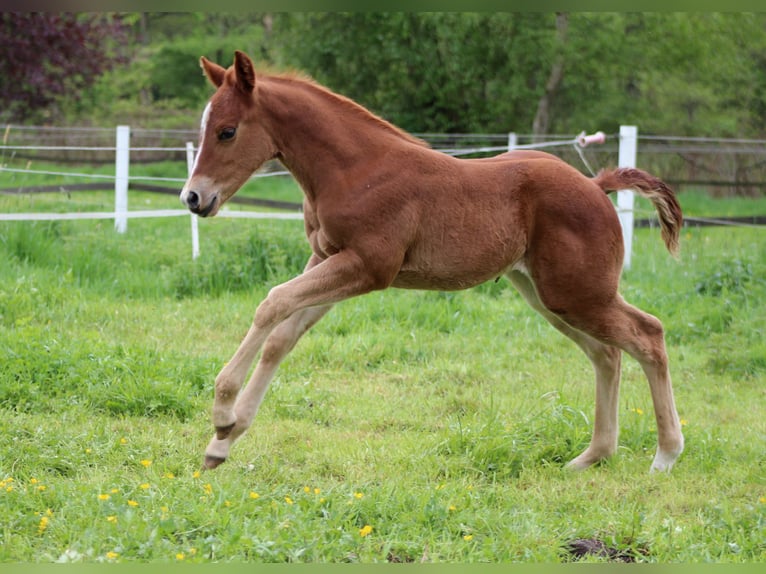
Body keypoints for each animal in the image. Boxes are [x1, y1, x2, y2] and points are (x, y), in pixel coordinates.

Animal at [180, 50, 685, 473]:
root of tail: (597, 186)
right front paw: (222, 442)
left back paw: (664, 455)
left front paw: (222, 412)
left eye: (227, 131)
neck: (355, 169)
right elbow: (281, 337)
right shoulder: (326, 259)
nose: (193, 198)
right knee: (607, 353)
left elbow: (272, 302)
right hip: (547, 296)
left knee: (648, 335)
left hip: (578, 293)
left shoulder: (368, 266)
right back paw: (592, 456)